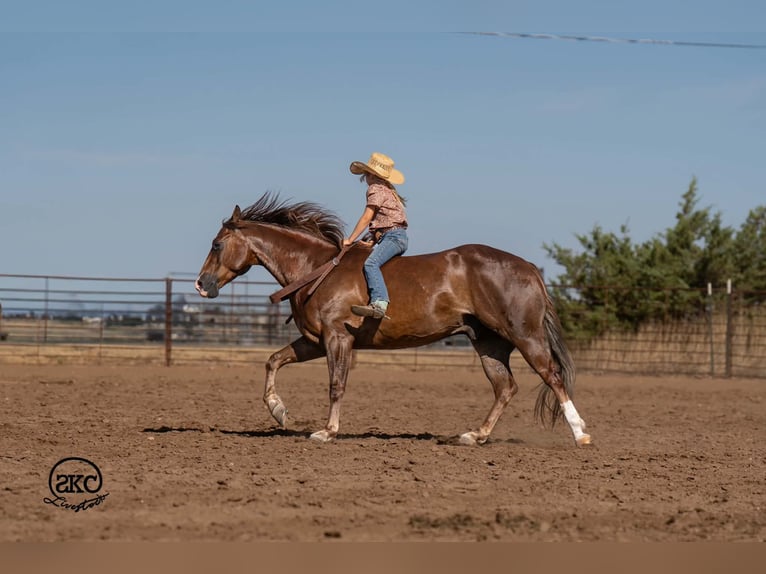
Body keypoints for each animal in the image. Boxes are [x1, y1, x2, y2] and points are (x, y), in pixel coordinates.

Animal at [195, 193, 590, 447]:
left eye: (216, 244)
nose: (201, 284)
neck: (315, 269)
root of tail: (529, 268)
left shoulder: (338, 338)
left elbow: (336, 385)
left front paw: (327, 431)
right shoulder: (314, 341)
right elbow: (273, 360)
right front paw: (279, 412)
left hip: (525, 336)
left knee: (553, 377)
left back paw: (580, 433)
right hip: (488, 343)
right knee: (505, 387)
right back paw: (475, 435)